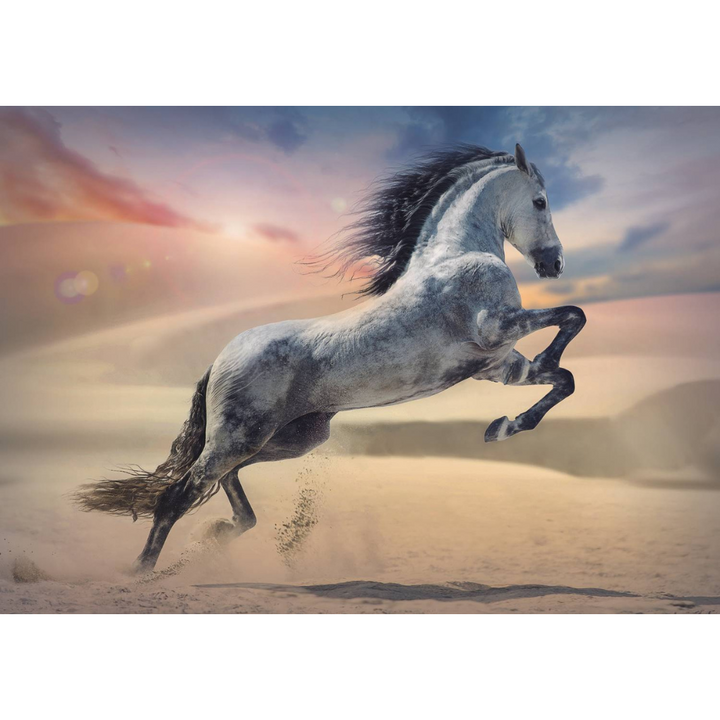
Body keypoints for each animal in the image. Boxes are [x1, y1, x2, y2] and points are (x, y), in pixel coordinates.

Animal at [75, 143, 586, 573]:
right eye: (541, 201)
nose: (555, 264)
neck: (455, 256)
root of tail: (218, 360)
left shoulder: (498, 366)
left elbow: (564, 378)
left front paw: (502, 427)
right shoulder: (495, 327)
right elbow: (573, 317)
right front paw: (516, 406)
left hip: (289, 438)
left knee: (223, 481)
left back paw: (221, 532)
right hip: (240, 436)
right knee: (179, 494)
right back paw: (142, 571)